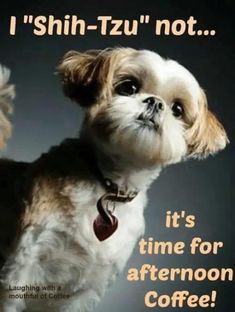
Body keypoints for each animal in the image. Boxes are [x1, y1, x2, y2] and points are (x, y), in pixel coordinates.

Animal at [0, 47, 228, 310]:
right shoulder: (22, 264)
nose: (155, 102)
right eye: (128, 87)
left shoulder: (87, 289)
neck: (108, 184)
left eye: (177, 110)